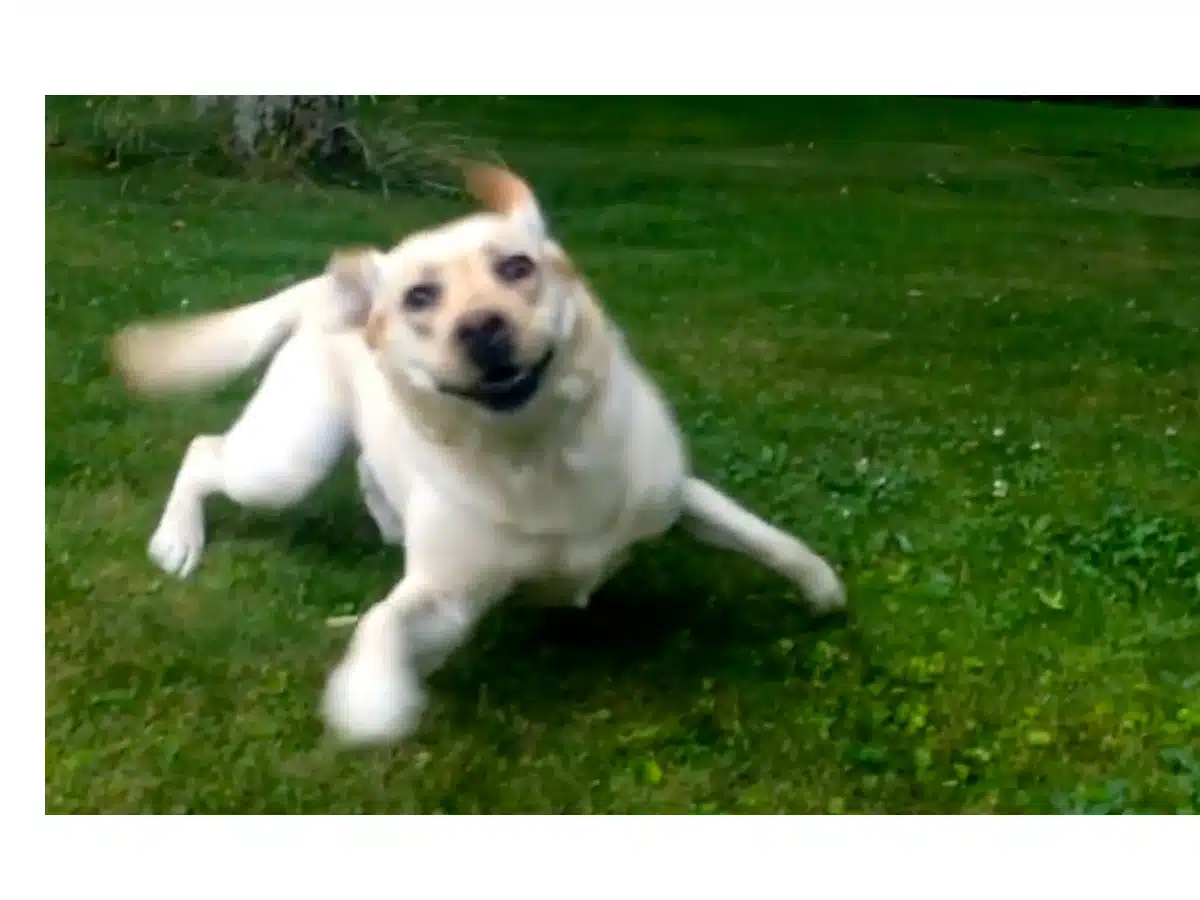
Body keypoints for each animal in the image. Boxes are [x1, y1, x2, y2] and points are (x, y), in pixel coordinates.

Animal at [110, 165, 844, 748]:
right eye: (419, 296)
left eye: (517, 267)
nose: (482, 327)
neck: (534, 451)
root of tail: (331, 290)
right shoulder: (446, 602)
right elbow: (380, 623)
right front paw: (371, 696)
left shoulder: (677, 493)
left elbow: (770, 537)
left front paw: (824, 590)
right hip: (284, 463)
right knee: (204, 452)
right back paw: (177, 539)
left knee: (367, 470)